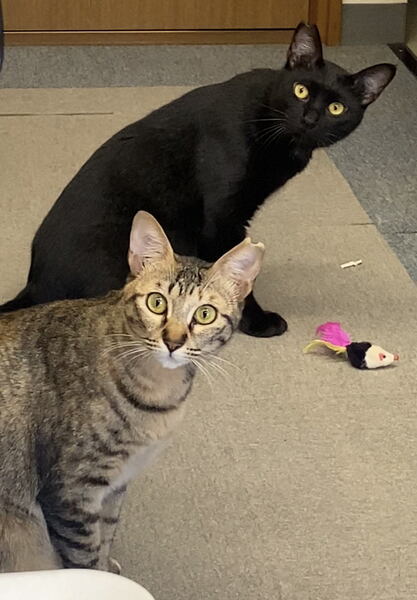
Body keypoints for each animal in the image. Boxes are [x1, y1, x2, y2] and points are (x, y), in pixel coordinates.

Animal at [0, 23, 395, 338]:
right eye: (301, 90)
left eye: (336, 109)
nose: (310, 118)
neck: (273, 129)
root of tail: (34, 284)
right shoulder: (222, 218)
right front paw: (256, 321)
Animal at [0, 210, 264, 573]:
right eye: (157, 303)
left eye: (205, 314)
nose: (173, 341)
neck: (156, 394)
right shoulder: (70, 492)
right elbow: (84, 558)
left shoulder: (116, 484)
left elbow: (106, 533)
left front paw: (108, 564)